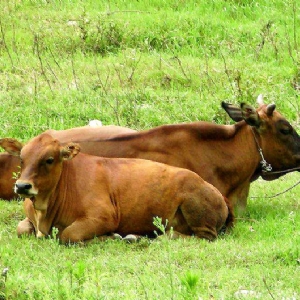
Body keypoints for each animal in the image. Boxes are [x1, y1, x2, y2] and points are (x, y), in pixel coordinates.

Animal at [0, 134, 234, 244]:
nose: (22, 186)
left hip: (198, 214)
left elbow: (68, 235)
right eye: (22, 159)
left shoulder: (103, 217)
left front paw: (110, 237)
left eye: (49, 159)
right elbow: (21, 229)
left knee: (200, 236)